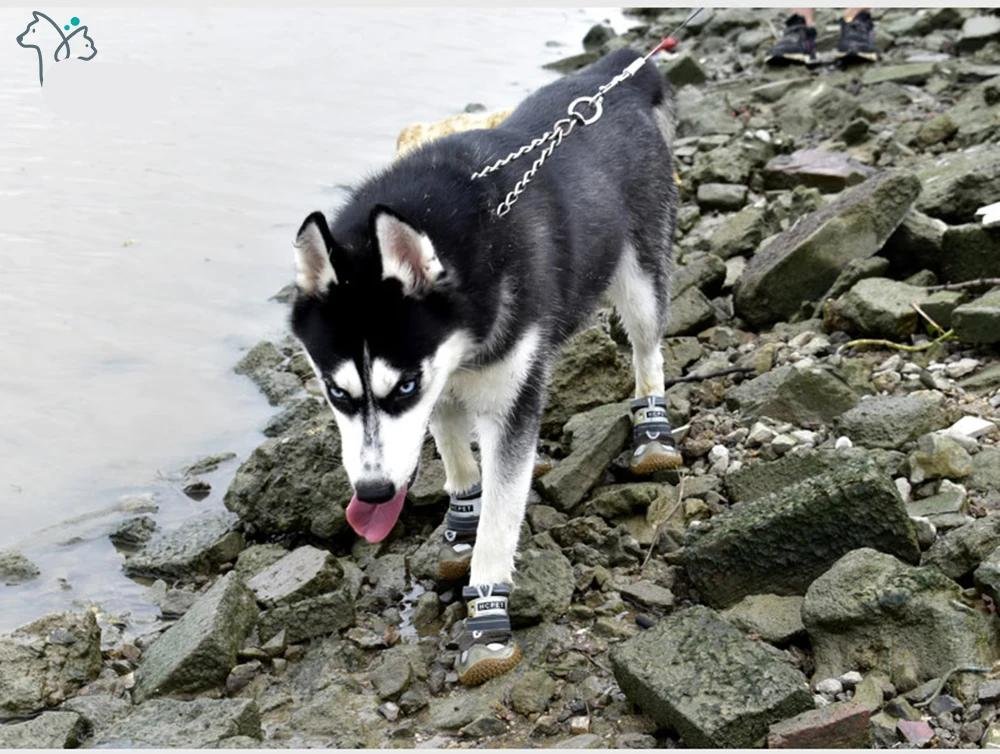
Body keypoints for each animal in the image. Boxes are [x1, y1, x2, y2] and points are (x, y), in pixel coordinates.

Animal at [290, 47, 681, 685]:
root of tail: (615, 73)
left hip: (640, 280)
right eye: (338, 393)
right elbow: (456, 462)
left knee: (648, 348)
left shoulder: (506, 407)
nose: (372, 493)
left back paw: (653, 430)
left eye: (403, 387)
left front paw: (487, 620)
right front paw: (461, 522)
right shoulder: (445, 391)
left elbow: (501, 518)